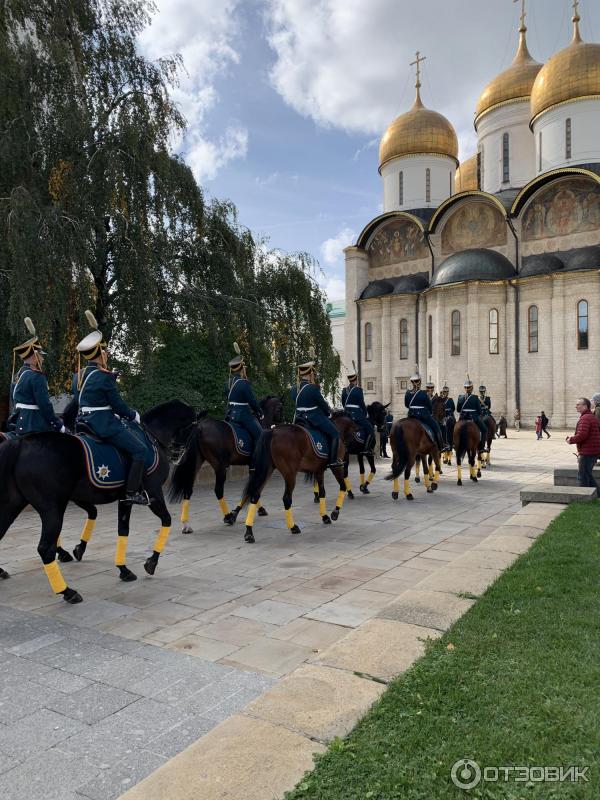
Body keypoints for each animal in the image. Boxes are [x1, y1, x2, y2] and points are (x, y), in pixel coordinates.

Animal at [0, 400, 197, 600]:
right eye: (193, 429)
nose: (178, 456)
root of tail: (21, 444)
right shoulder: (154, 493)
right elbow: (167, 520)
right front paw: (151, 563)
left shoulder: (122, 499)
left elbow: (121, 529)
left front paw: (122, 569)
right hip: (53, 509)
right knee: (45, 548)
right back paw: (68, 592)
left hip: (13, 503)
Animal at [169, 394, 282, 532]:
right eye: (280, 408)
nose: (281, 420)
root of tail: (200, 427)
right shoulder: (257, 466)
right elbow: (254, 488)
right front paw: (236, 513)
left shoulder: (251, 466)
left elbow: (252, 488)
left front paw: (257, 508)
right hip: (220, 467)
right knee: (218, 490)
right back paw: (228, 516)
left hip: (196, 465)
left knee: (188, 489)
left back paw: (186, 524)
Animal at [233, 412, 356, 544]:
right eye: (355, 429)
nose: (349, 451)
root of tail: (273, 431)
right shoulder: (336, 467)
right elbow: (342, 486)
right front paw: (335, 513)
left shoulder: (319, 470)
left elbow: (322, 492)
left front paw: (325, 516)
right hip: (290, 474)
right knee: (286, 498)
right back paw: (293, 527)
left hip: (267, 470)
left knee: (254, 495)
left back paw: (248, 532)